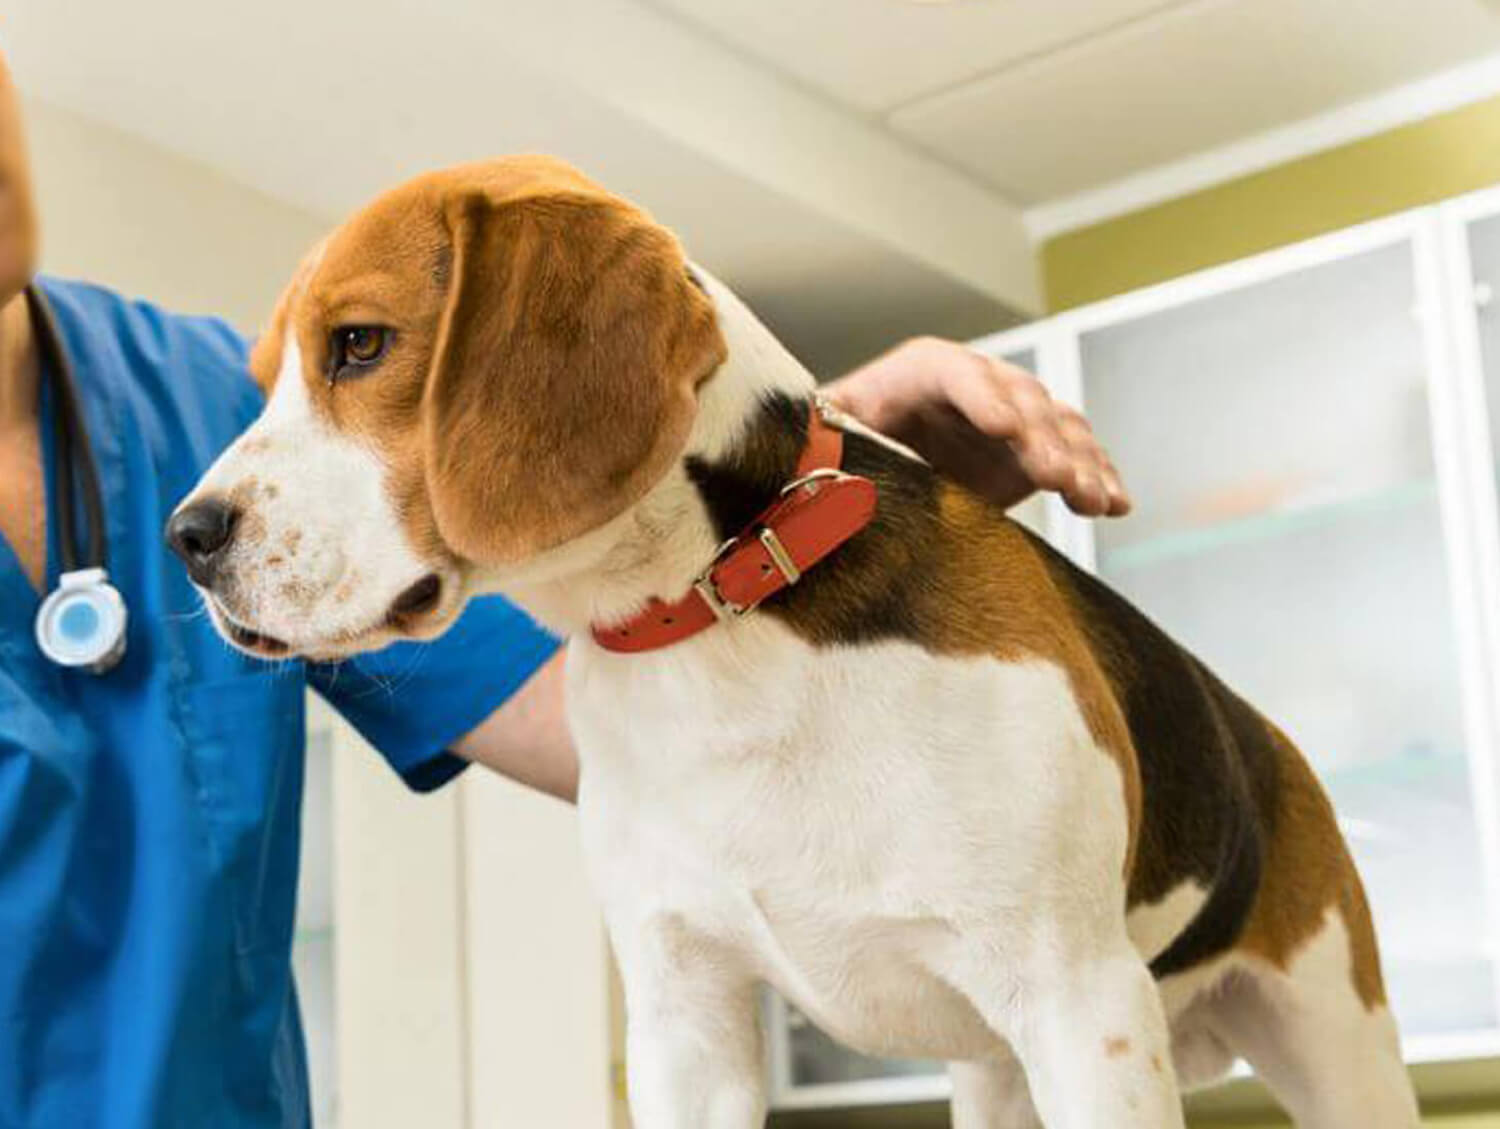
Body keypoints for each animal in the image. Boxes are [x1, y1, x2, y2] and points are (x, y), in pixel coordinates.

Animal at [172, 156, 1416, 1127]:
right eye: (265, 379)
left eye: (359, 345)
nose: (186, 537)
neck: (722, 618)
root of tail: (1272, 737)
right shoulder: (685, 1020)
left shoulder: (1080, 1001)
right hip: (996, 1073)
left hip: (1334, 1041)